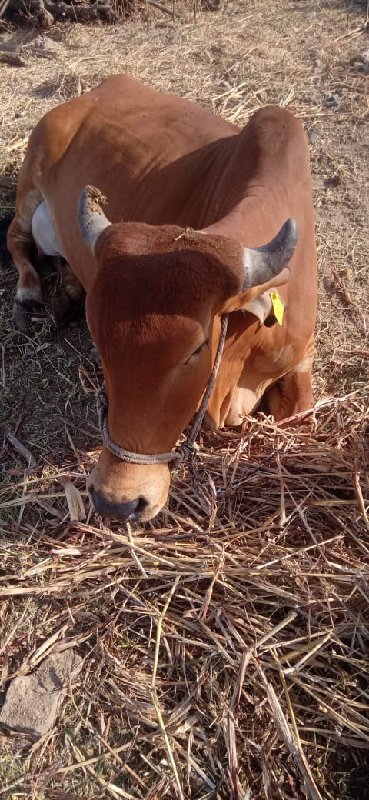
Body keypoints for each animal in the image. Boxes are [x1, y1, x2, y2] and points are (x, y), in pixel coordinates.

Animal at [7, 73, 314, 524]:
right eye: (99, 343)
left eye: (196, 349)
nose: (115, 500)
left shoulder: (303, 357)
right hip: (29, 180)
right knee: (15, 239)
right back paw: (31, 293)